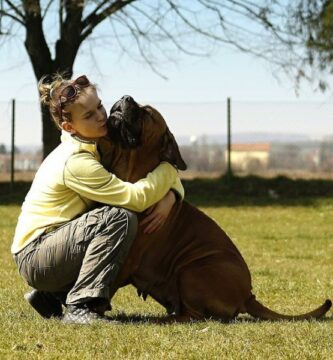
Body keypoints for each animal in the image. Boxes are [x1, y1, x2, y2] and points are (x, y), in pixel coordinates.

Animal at [98, 94, 330, 322]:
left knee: (193, 316)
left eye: (147, 112)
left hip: (191, 271)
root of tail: (248, 296)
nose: (125, 97)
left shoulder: (126, 259)